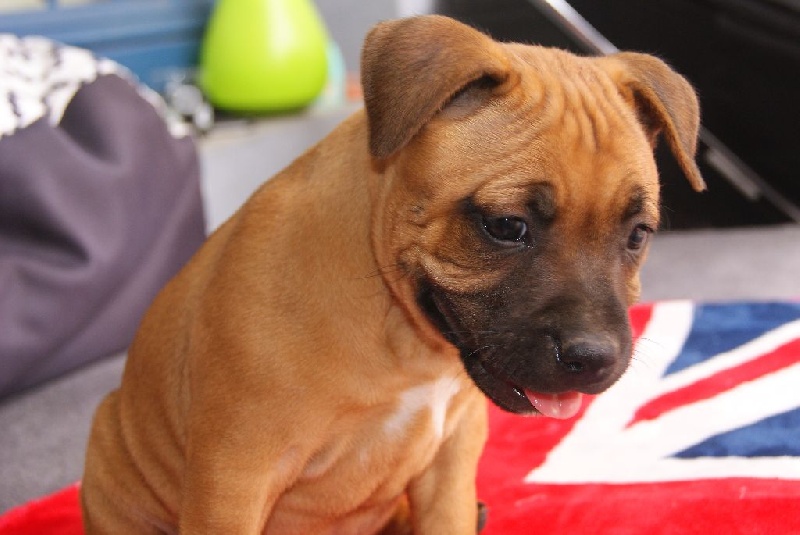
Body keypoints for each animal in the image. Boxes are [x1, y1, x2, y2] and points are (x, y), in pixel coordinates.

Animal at [81, 14, 705, 534]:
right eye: (506, 226)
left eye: (637, 235)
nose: (594, 357)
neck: (402, 337)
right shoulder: (234, 477)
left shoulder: (450, 459)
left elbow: (447, 518)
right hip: (111, 446)